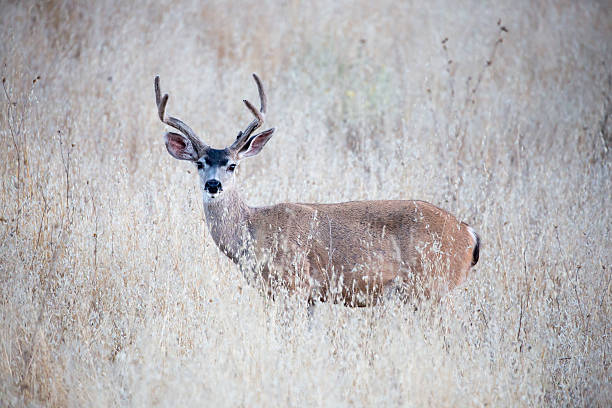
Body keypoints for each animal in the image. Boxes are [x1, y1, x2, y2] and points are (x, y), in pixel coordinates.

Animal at [153, 74, 478, 306]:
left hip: (432, 285)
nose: (213, 184)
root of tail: (468, 233)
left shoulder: (295, 284)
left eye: (232, 165)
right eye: (199, 163)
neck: (252, 230)